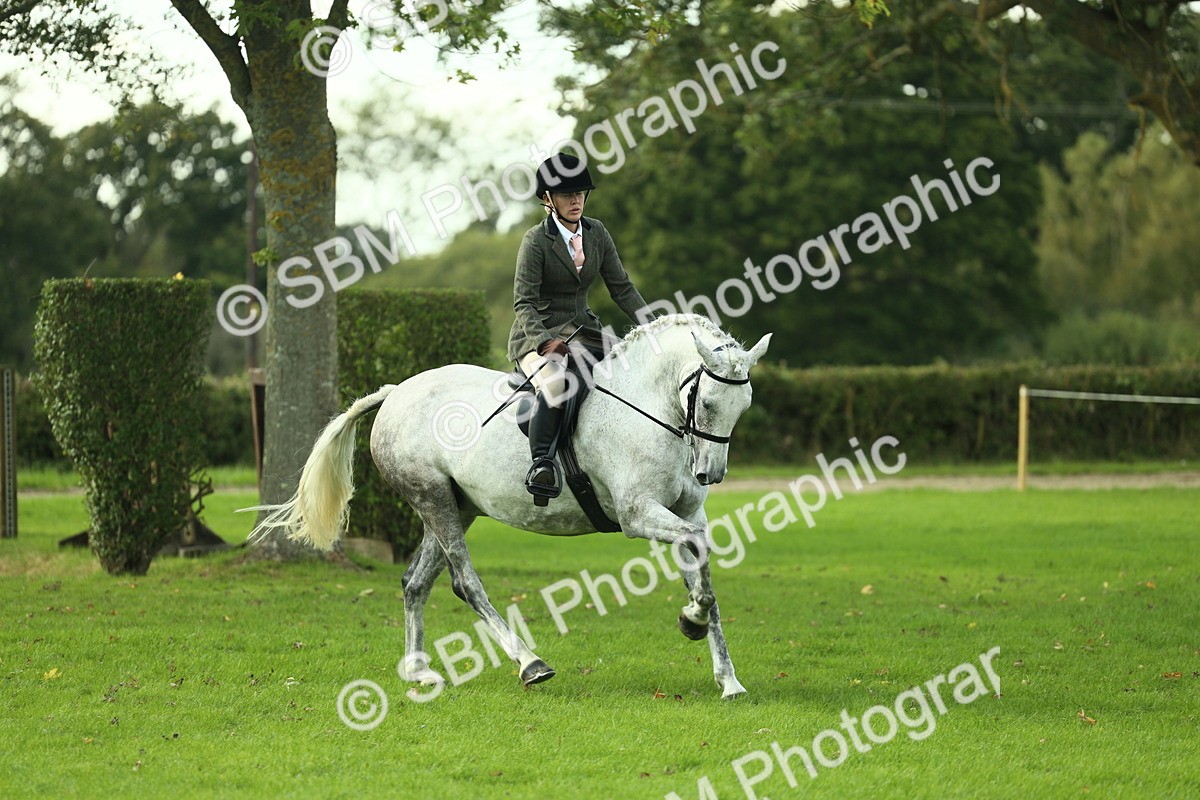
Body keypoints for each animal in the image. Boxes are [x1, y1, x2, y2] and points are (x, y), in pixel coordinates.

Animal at [249, 314, 771, 699]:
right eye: (707, 403)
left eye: (743, 404)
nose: (710, 474)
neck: (648, 408)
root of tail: (397, 392)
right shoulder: (638, 514)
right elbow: (696, 551)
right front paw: (693, 620)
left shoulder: (685, 513)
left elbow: (700, 563)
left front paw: (723, 671)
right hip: (433, 498)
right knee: (464, 581)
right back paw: (530, 663)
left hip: (455, 506)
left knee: (415, 582)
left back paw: (419, 672)